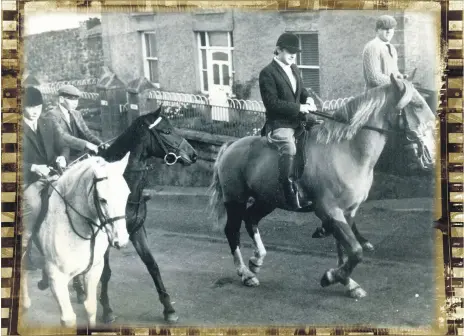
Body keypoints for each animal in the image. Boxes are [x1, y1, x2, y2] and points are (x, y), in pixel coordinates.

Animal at [21, 154, 130, 326]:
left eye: (127, 194)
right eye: (102, 199)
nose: (122, 240)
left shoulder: (94, 270)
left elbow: (90, 308)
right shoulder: (57, 278)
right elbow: (69, 320)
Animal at [209, 74, 436, 300]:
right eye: (416, 105)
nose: (431, 153)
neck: (347, 151)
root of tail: (231, 146)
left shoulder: (348, 211)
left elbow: (345, 249)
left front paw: (347, 283)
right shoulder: (329, 210)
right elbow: (355, 251)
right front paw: (331, 277)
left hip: (267, 200)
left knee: (251, 220)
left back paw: (257, 261)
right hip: (235, 200)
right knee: (232, 231)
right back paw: (245, 274)